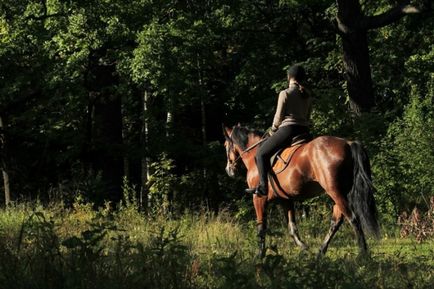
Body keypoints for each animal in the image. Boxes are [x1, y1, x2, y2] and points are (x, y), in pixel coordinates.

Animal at [224, 124, 380, 256]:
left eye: (226, 146)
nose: (228, 170)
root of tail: (348, 143)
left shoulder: (258, 198)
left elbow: (261, 227)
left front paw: (260, 255)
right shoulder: (285, 200)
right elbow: (292, 228)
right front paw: (305, 248)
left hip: (335, 191)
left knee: (353, 218)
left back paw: (363, 254)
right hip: (340, 192)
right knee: (336, 221)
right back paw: (320, 252)